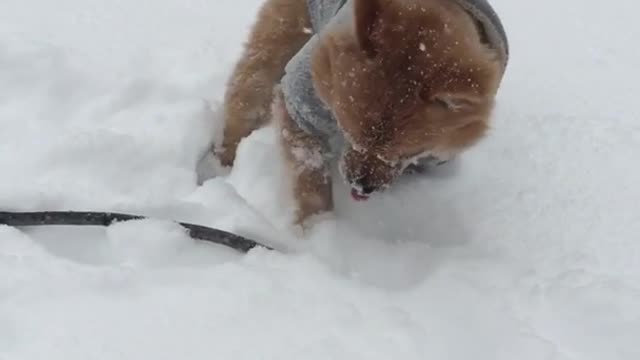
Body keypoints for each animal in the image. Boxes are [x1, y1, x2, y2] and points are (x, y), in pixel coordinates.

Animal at [218, 0, 508, 228]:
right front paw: (319, 228)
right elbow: (310, 174)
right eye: (350, 135)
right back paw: (225, 162)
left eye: (403, 153)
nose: (361, 186)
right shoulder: (302, 102)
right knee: (247, 89)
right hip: (281, 36)